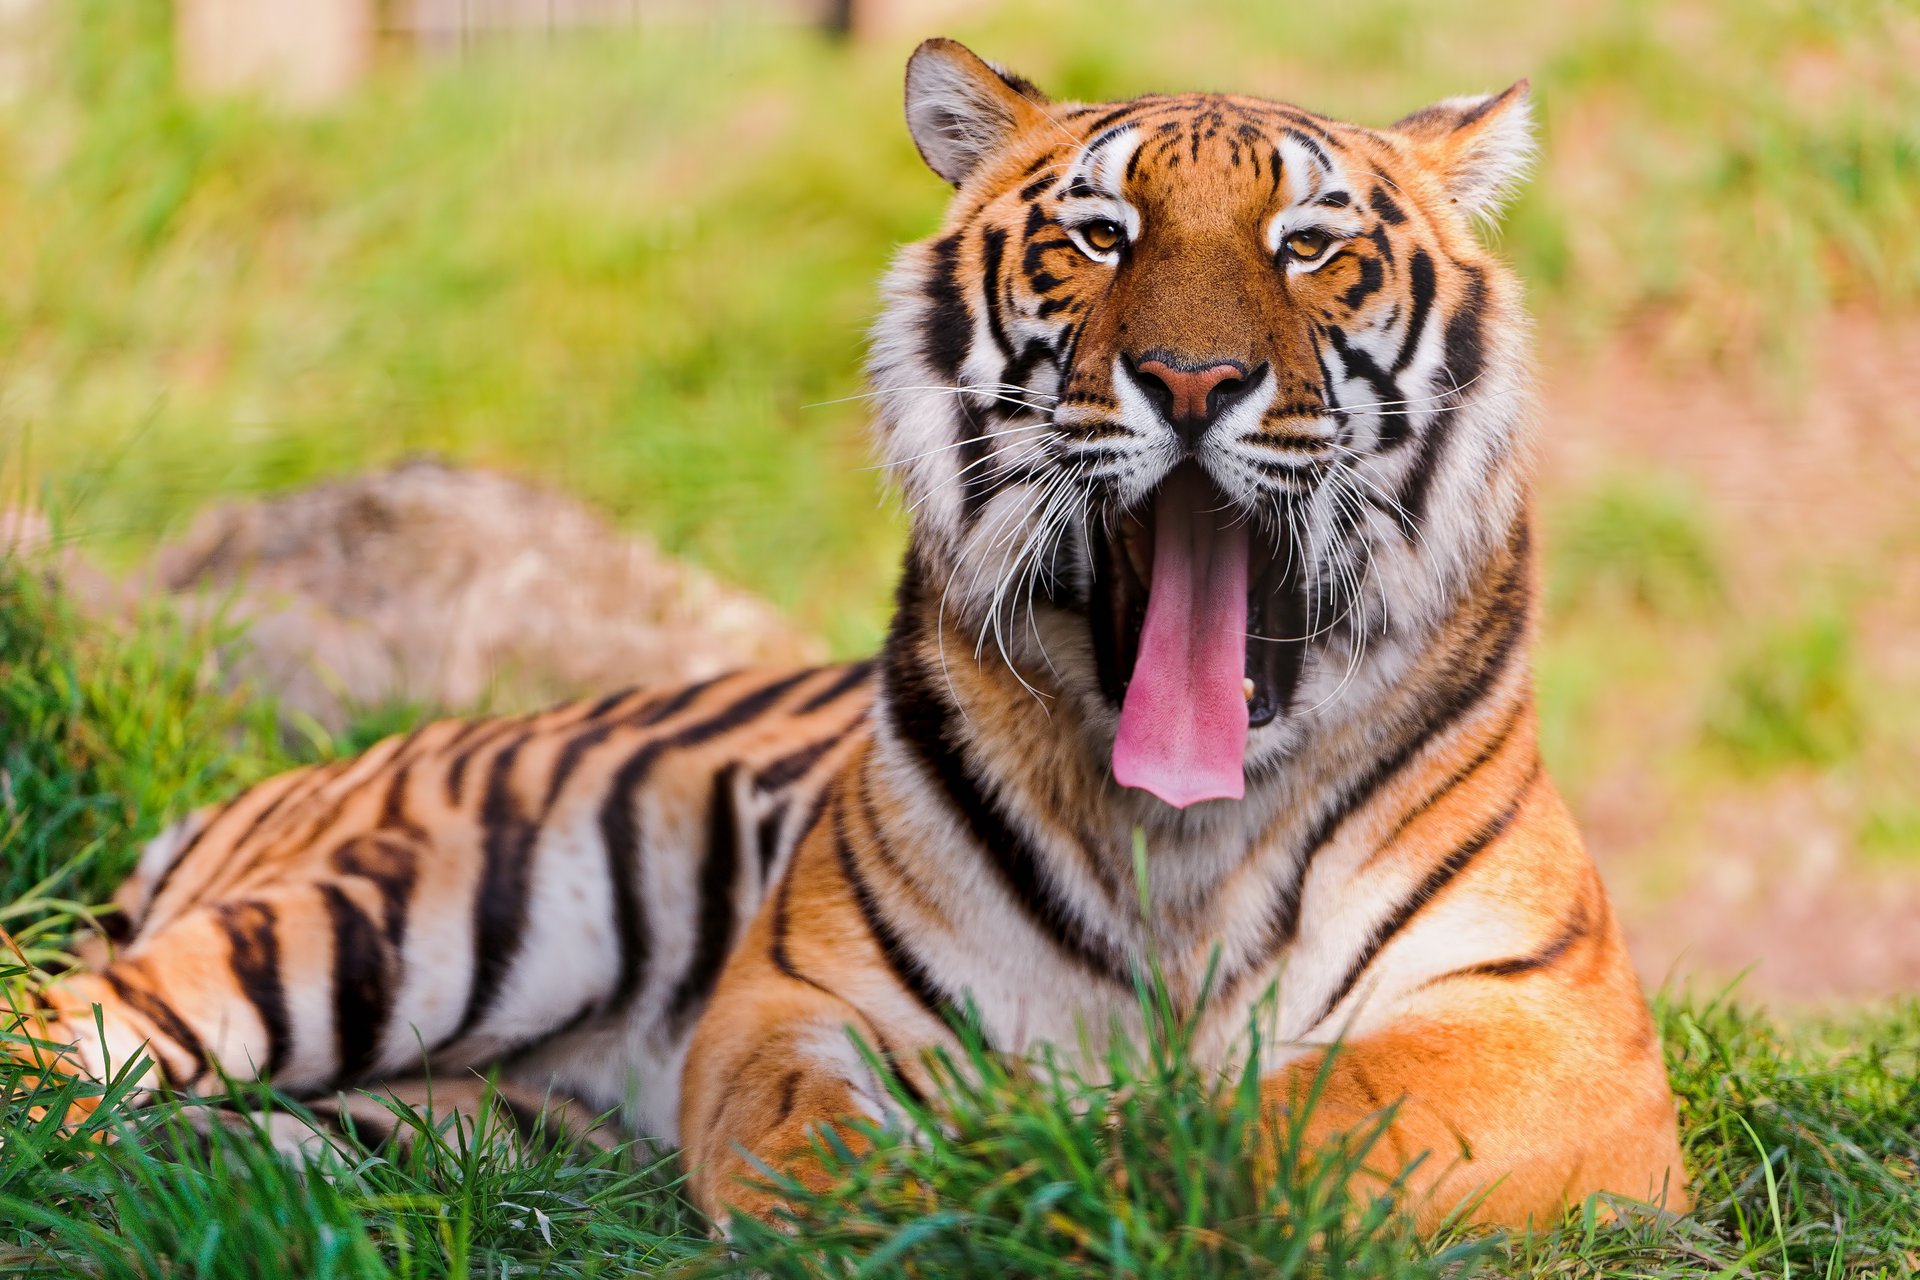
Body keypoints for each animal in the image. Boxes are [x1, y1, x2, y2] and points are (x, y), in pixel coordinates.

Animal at [11, 38, 1687, 1232]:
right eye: (1100, 235)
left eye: (1309, 246)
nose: (1193, 380)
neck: (1181, 838)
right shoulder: (795, 1001)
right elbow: (823, 1138)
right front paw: (968, 1190)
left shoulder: (1553, 1035)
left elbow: (1295, 1122)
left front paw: (1117, 1167)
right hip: (412, 903)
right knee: (72, 1030)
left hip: (424, 1113)